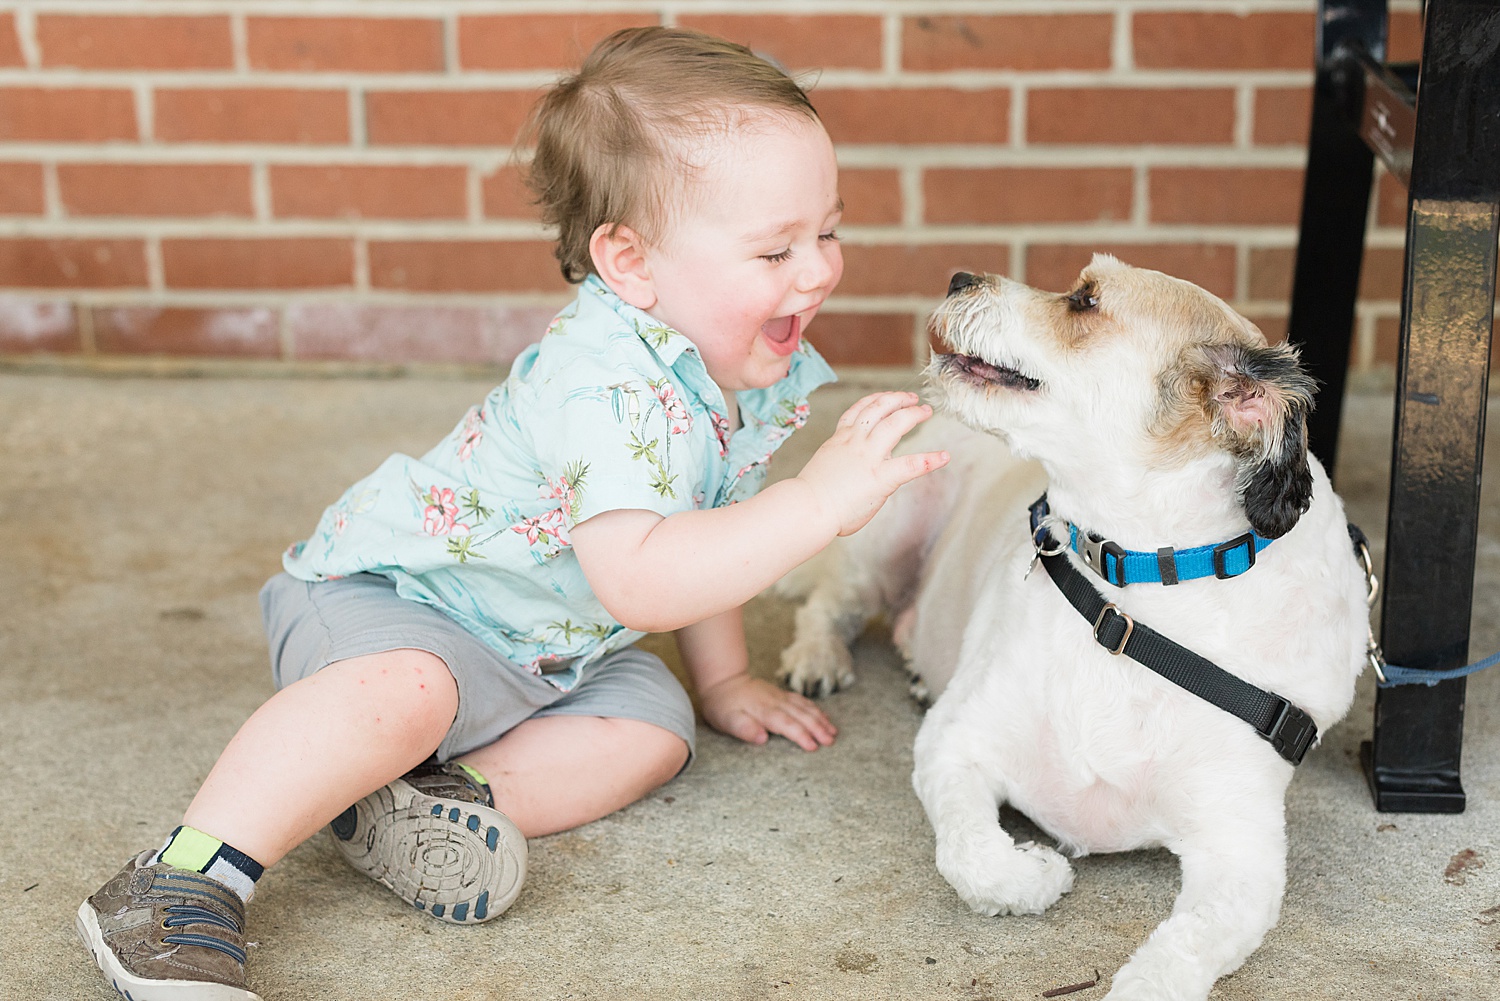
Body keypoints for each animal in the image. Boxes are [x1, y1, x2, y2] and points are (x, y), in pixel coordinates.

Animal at [786, 258, 1374, 1001]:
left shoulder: (1243, 855)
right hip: (886, 526)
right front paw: (1033, 873)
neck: (1133, 602)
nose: (958, 276)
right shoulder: (954, 743)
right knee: (834, 599)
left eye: (1085, 302)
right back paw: (817, 656)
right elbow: (972, 856)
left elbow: (1186, 947)